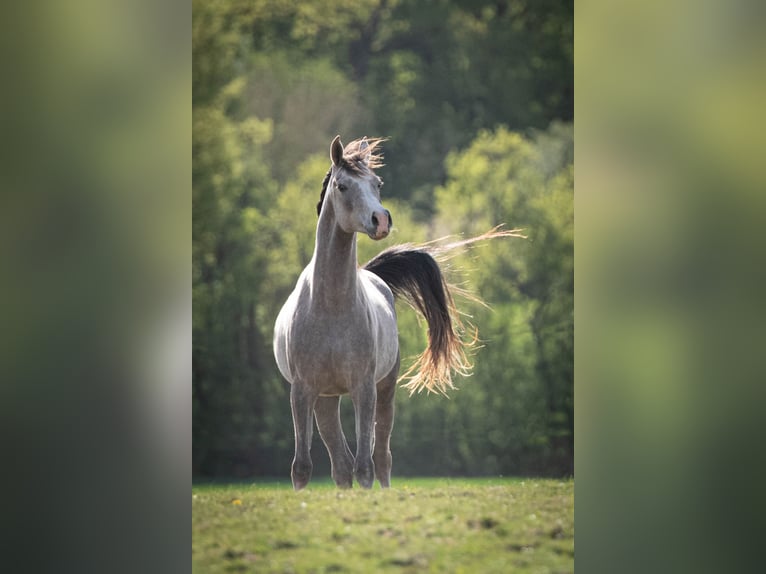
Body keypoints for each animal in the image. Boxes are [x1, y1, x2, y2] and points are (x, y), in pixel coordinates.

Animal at [273, 135, 520, 490]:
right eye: (342, 186)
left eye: (377, 184)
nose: (381, 220)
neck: (330, 306)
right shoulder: (302, 391)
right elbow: (302, 466)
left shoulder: (364, 389)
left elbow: (365, 464)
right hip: (326, 398)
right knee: (341, 464)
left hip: (384, 390)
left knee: (379, 458)